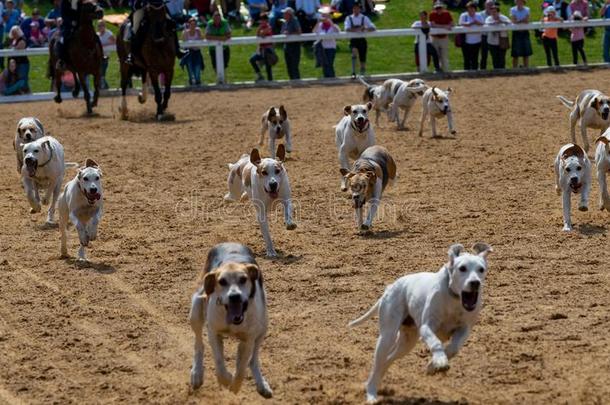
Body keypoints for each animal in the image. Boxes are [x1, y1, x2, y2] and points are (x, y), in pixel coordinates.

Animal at [186, 241, 270, 396]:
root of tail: (228, 242)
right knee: (199, 344)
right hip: (195, 310)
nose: (234, 296)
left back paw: (262, 384)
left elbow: (241, 368)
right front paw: (226, 380)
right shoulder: (213, 333)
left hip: (263, 328)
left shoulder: (248, 339)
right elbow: (219, 364)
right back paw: (197, 374)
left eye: (243, 279)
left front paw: (235, 386)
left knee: (253, 360)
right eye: (222, 281)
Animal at [350, 241, 492, 402]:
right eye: (462, 268)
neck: (454, 299)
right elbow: (436, 343)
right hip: (387, 336)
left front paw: (432, 365)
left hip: (407, 342)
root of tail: (390, 287)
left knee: (387, 361)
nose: (475, 283)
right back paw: (371, 394)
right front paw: (440, 361)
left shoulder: (464, 329)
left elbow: (453, 348)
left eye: (481, 269)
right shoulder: (426, 327)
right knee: (378, 364)